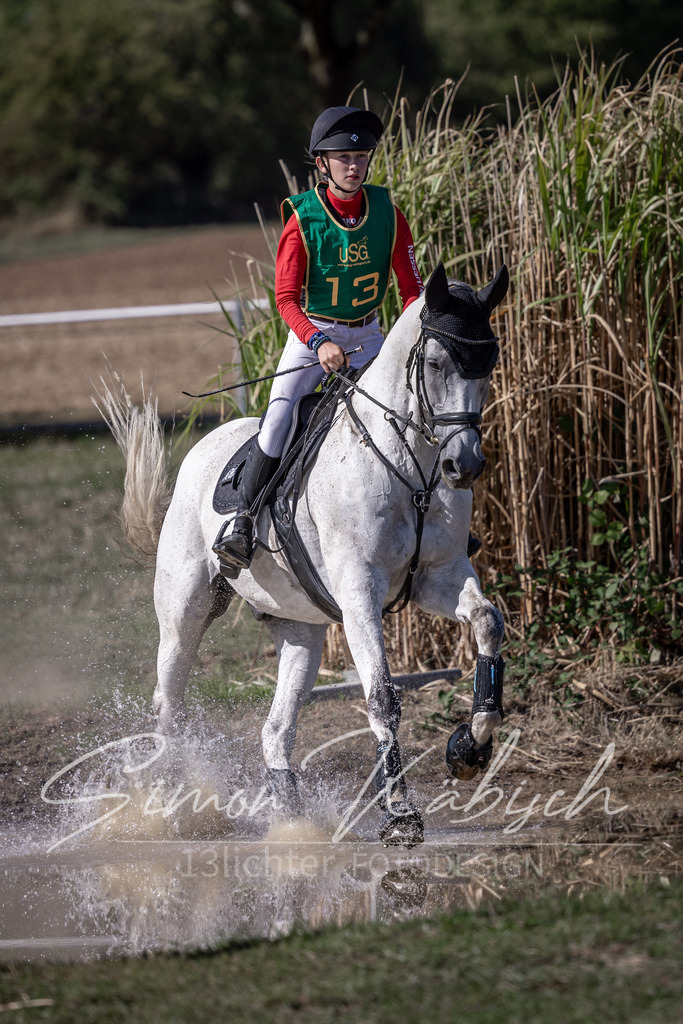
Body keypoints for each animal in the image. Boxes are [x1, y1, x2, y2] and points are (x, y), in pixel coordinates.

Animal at [97, 261, 509, 847]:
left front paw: (468, 749)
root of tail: (199, 452)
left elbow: (488, 623)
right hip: (184, 611)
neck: (410, 466)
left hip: (301, 629)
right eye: (434, 363)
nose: (464, 466)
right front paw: (400, 815)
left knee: (276, 728)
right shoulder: (359, 590)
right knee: (168, 704)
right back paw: (168, 806)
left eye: (489, 362)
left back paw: (291, 822)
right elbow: (382, 696)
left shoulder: (440, 575)